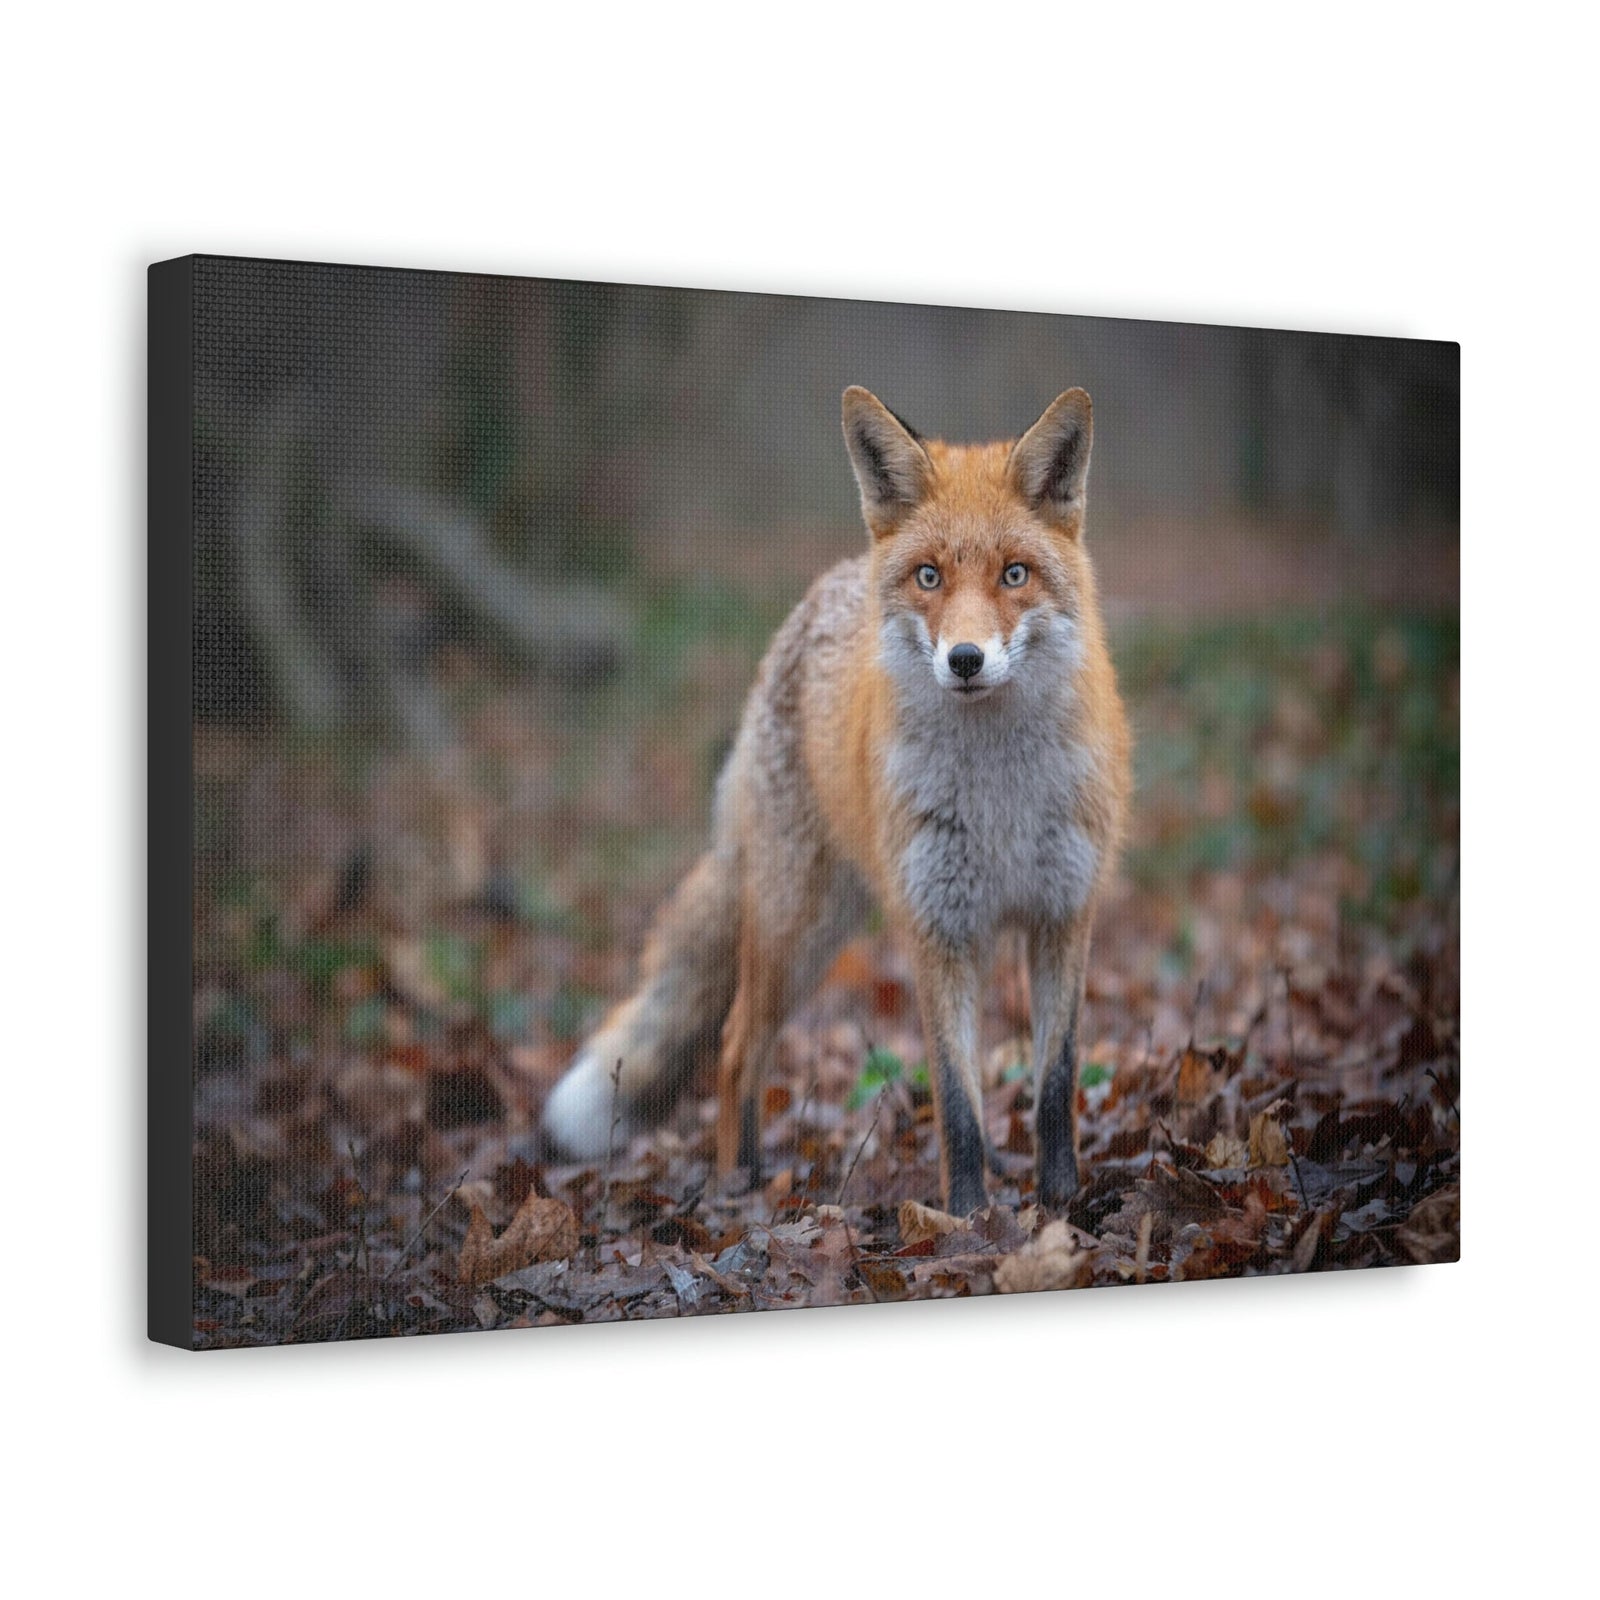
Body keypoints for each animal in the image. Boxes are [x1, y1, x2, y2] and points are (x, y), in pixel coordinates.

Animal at [543, 386, 1132, 1215]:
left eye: (1015, 574)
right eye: (929, 577)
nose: (965, 659)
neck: (1000, 799)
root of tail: (824, 590)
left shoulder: (1062, 914)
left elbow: (1054, 1084)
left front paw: (1061, 1205)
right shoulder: (937, 927)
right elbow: (956, 1100)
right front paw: (967, 1219)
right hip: (798, 931)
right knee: (734, 1047)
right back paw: (739, 1183)